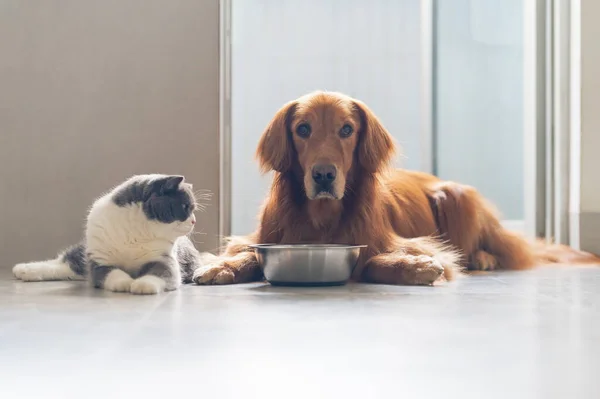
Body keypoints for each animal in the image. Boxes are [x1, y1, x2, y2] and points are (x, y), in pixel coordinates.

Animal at [11, 173, 207, 296]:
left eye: (193, 209)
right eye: (185, 207)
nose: (194, 221)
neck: (138, 231)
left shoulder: (164, 260)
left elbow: (160, 273)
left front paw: (143, 284)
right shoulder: (99, 261)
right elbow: (111, 273)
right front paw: (125, 283)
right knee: (68, 262)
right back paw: (23, 269)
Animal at [193, 91, 600, 286]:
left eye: (347, 129)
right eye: (302, 129)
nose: (323, 175)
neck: (322, 218)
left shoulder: (410, 242)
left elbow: (374, 260)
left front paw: (413, 266)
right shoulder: (263, 237)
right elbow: (246, 253)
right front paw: (220, 267)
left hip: (455, 196)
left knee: (496, 249)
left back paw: (483, 258)